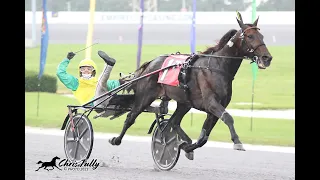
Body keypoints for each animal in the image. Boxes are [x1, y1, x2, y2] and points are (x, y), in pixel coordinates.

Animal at [108, 11, 272, 160]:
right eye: (250, 36)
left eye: (262, 36)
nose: (267, 58)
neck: (217, 66)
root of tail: (151, 63)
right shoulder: (211, 103)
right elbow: (228, 118)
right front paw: (237, 142)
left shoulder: (214, 109)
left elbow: (204, 137)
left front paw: (187, 147)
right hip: (145, 96)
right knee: (131, 116)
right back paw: (116, 139)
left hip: (184, 102)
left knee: (174, 122)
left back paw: (184, 141)